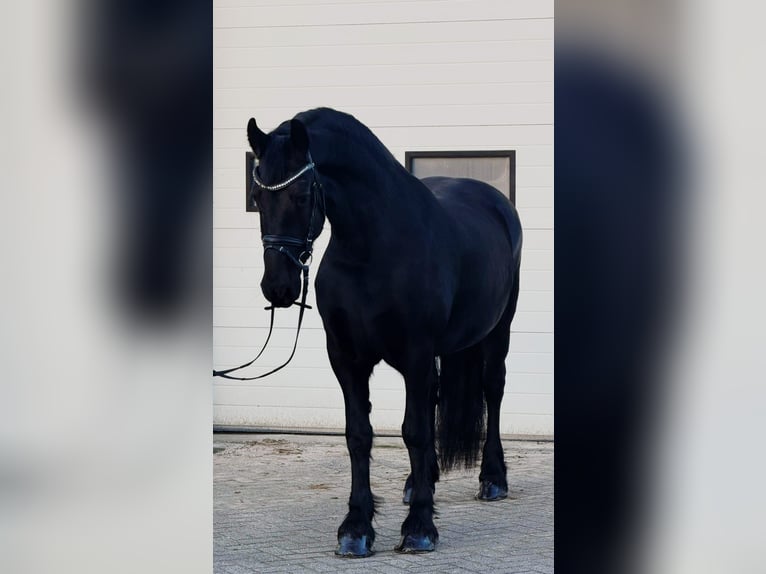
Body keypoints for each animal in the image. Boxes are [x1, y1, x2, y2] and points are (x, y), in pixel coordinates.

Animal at [245, 107, 522, 557]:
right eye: (257, 198)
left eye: (302, 196)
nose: (278, 287)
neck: (372, 251)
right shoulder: (346, 359)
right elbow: (359, 435)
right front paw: (356, 529)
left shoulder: (415, 354)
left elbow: (414, 432)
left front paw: (420, 528)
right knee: (434, 399)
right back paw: (419, 482)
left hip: (498, 332)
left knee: (492, 390)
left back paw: (493, 479)